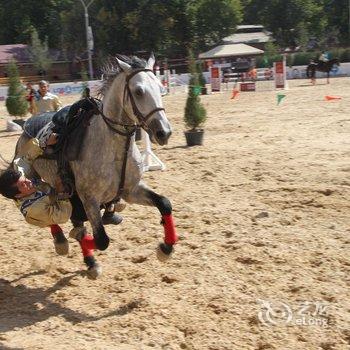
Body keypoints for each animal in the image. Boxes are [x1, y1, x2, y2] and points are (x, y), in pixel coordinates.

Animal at [15, 54, 178, 276]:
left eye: (160, 88)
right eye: (138, 91)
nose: (164, 132)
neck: (114, 150)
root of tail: (27, 126)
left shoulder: (131, 190)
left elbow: (164, 203)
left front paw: (165, 248)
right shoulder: (89, 199)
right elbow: (101, 240)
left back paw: (87, 256)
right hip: (36, 182)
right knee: (47, 212)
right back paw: (62, 242)